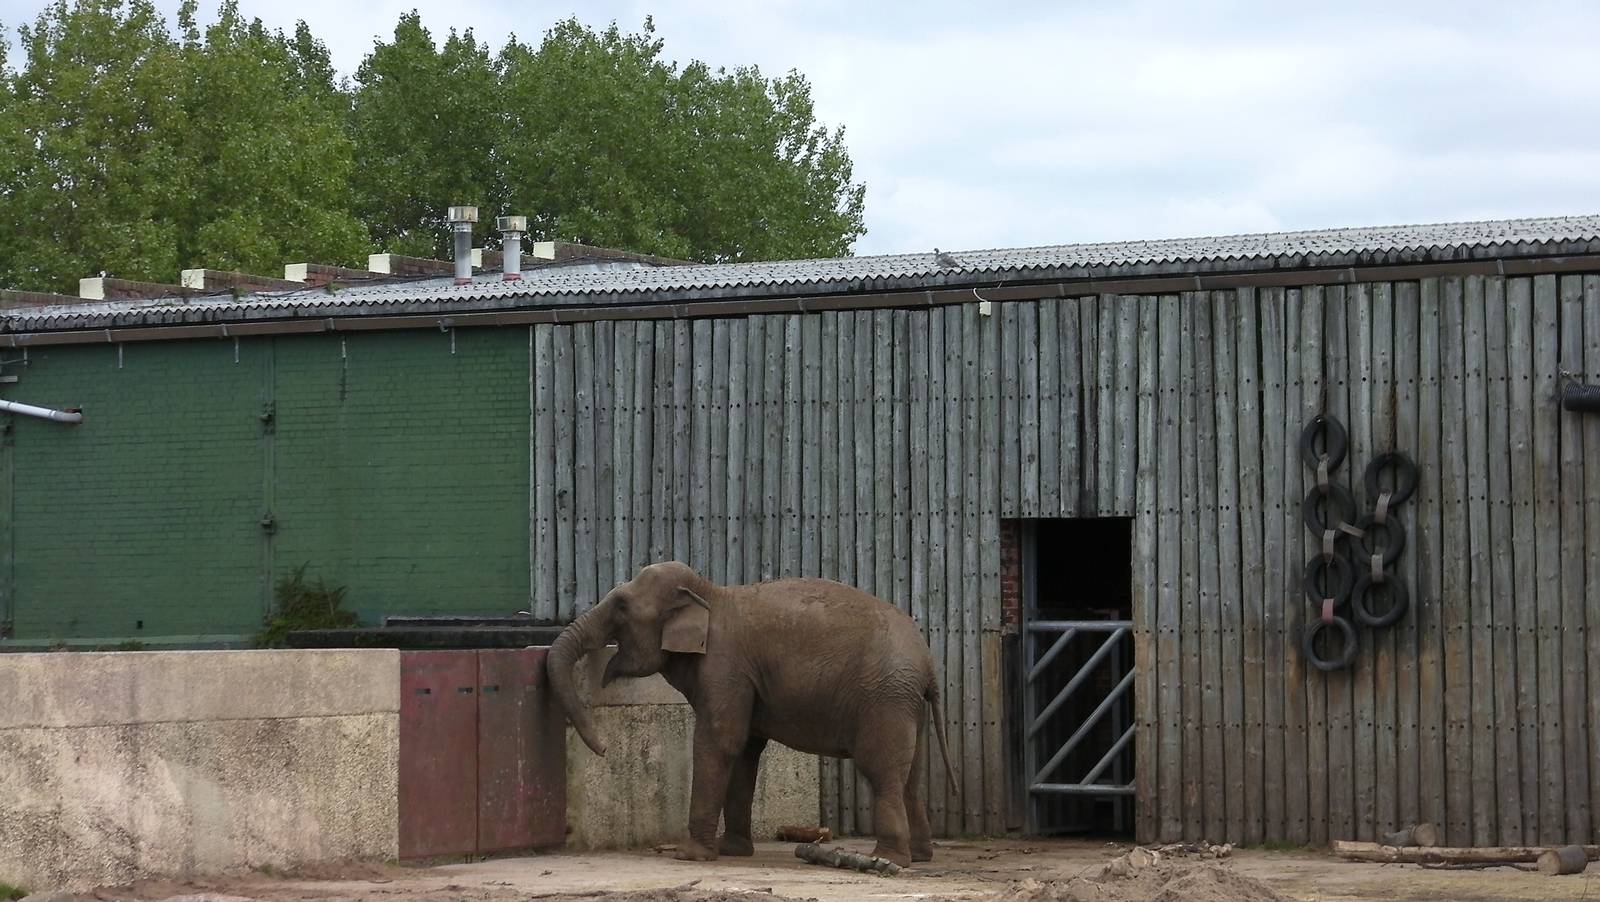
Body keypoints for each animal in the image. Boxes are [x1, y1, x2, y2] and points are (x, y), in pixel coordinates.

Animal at [546, 560, 957, 867]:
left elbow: (719, 742)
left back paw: (889, 860)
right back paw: (919, 857)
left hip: (885, 697)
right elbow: (745, 751)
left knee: (881, 771)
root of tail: (928, 662)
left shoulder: (724, 667)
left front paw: (690, 856)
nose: (603, 750)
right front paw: (732, 851)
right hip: (905, 701)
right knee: (910, 776)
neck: (708, 594)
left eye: (621, 606)